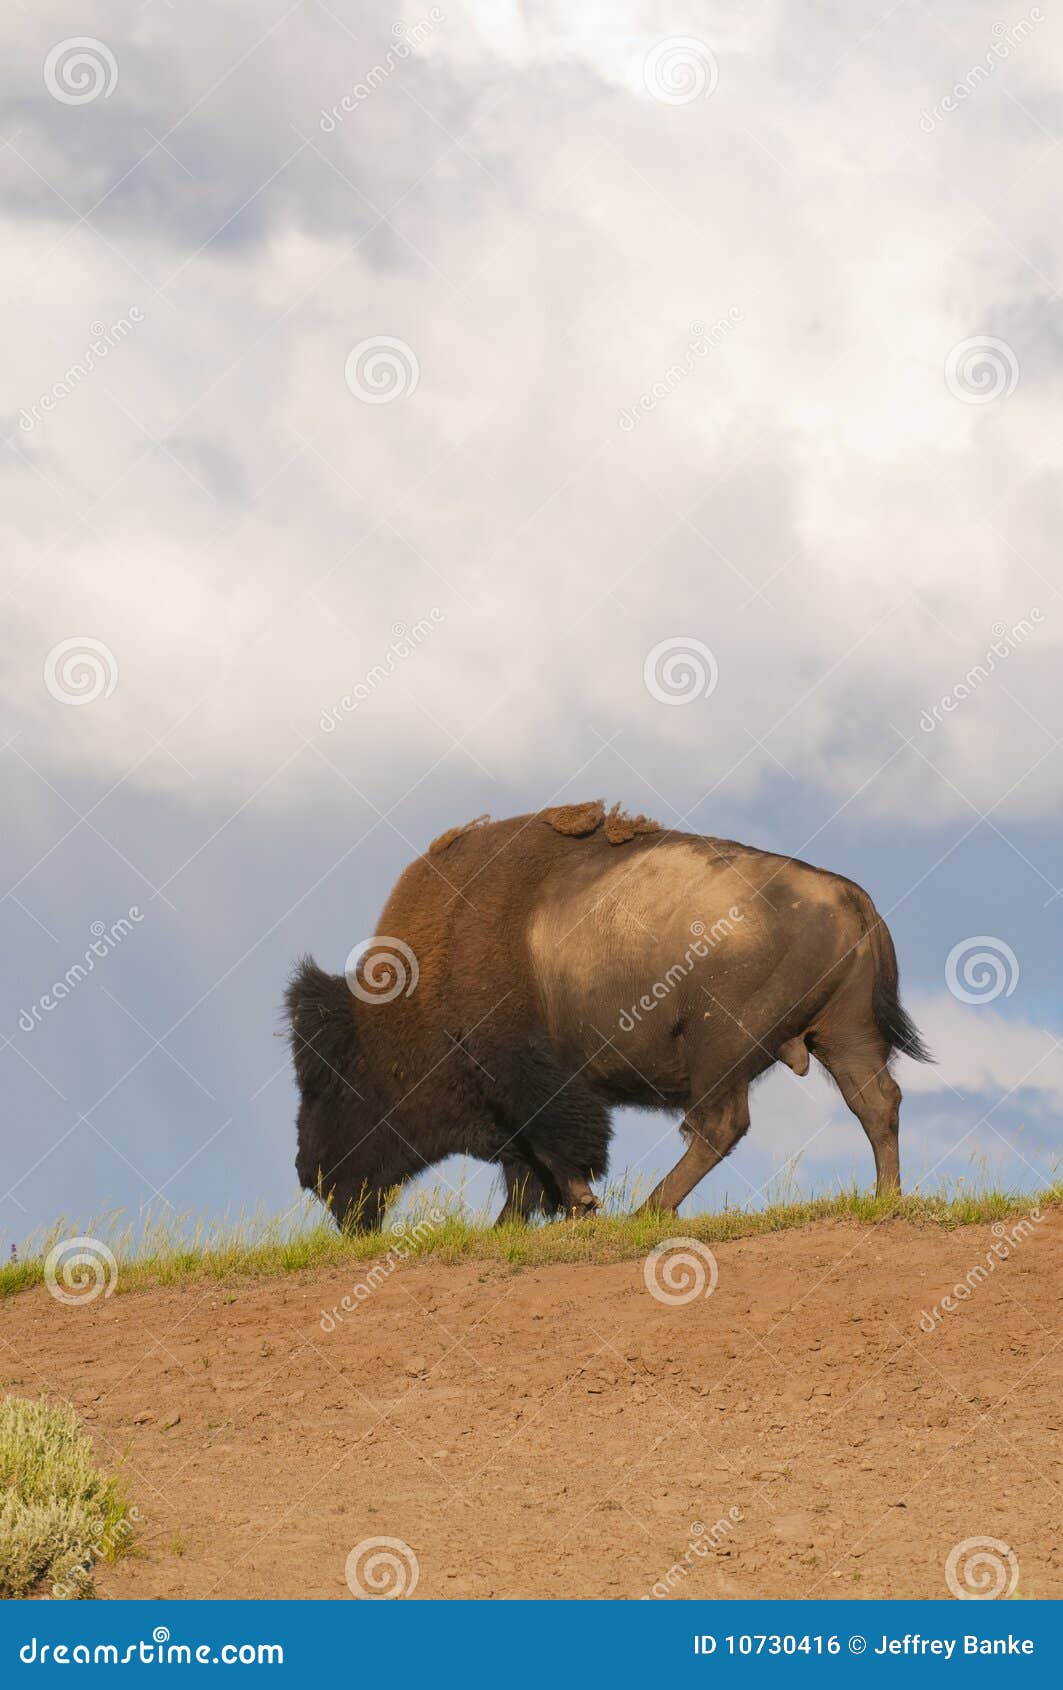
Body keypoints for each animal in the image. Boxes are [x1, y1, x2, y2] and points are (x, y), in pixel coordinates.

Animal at [287, 801, 930, 1230]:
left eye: (329, 1081)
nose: (309, 1171)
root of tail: (853, 901)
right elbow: (527, 1171)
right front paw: (518, 1226)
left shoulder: (529, 1083)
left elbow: (552, 1154)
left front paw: (582, 1208)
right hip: (844, 1035)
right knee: (876, 1103)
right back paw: (887, 1197)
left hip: (722, 1047)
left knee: (719, 1124)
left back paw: (650, 1211)